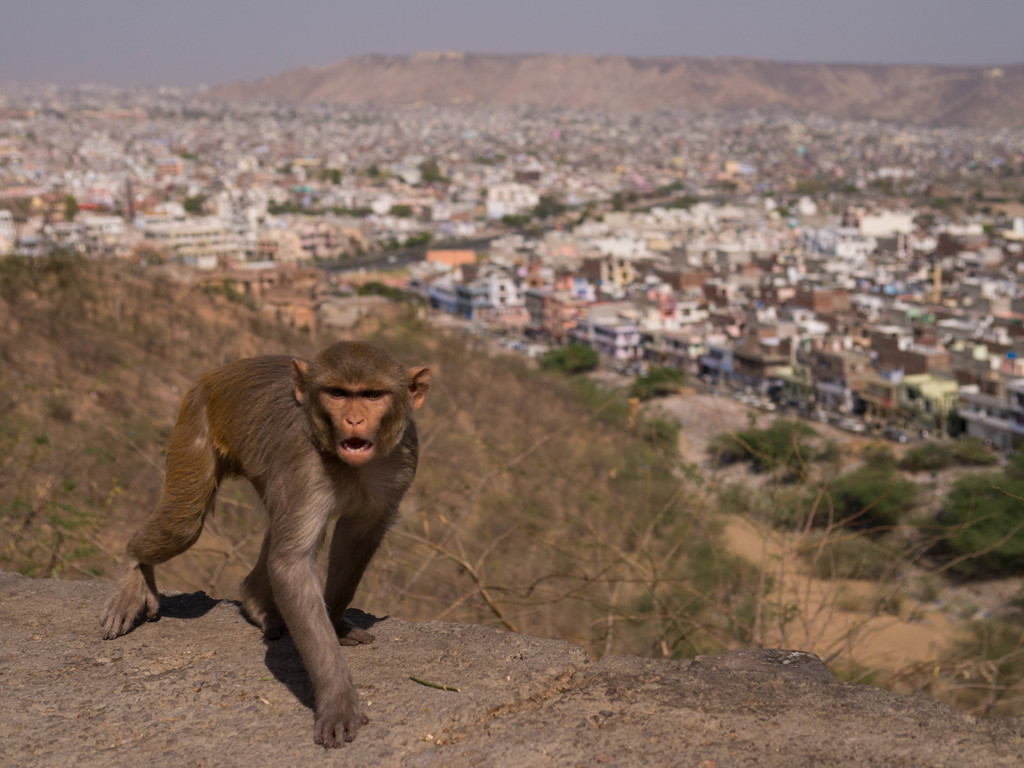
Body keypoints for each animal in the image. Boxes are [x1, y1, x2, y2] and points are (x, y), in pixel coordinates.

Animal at [99, 339, 428, 749]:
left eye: (372, 395)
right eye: (338, 393)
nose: (353, 421)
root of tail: (218, 372)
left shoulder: (400, 463)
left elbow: (357, 536)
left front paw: (334, 622)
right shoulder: (305, 464)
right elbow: (291, 563)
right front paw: (336, 697)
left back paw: (256, 601)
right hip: (194, 420)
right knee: (184, 524)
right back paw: (132, 572)